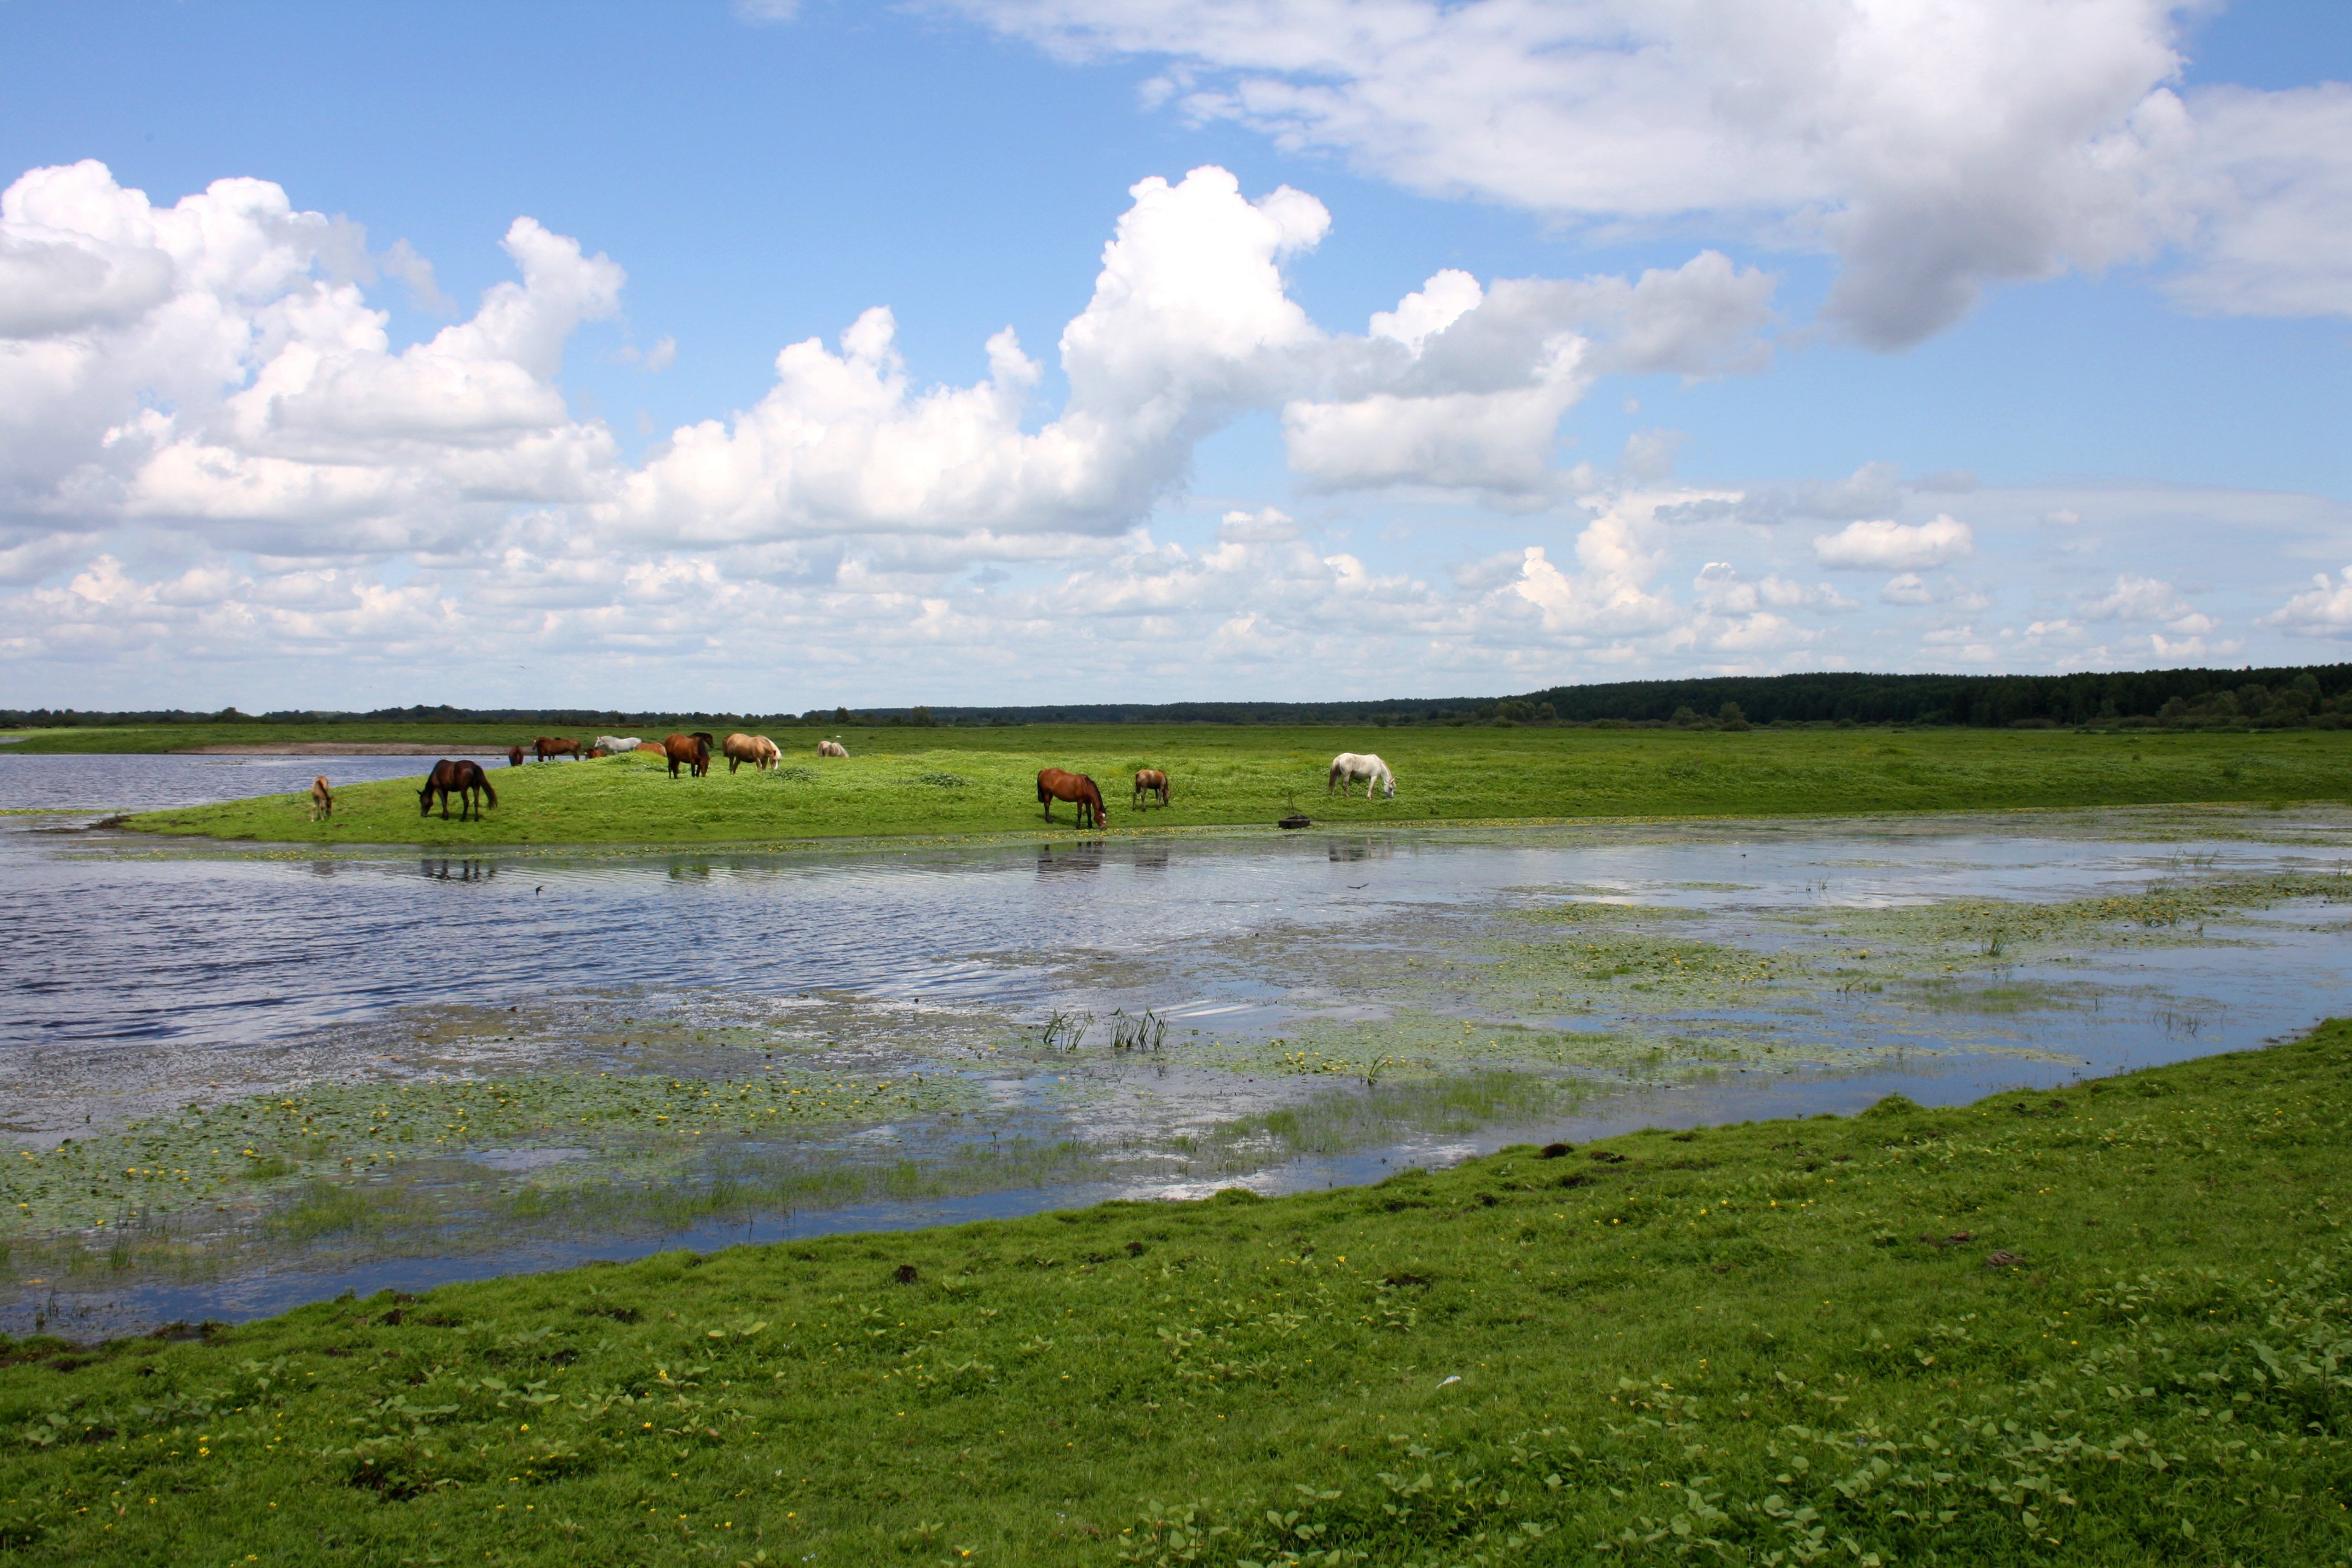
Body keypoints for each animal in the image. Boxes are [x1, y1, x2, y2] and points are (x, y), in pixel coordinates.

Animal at [419, 762, 496, 823]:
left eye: (421, 801)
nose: (423, 815)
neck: (436, 773)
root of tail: (473, 766)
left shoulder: (439, 788)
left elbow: (444, 802)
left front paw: (446, 817)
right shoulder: (446, 789)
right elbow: (445, 801)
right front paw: (444, 815)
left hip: (463, 789)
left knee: (466, 802)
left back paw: (462, 818)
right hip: (476, 786)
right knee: (476, 801)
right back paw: (476, 819)